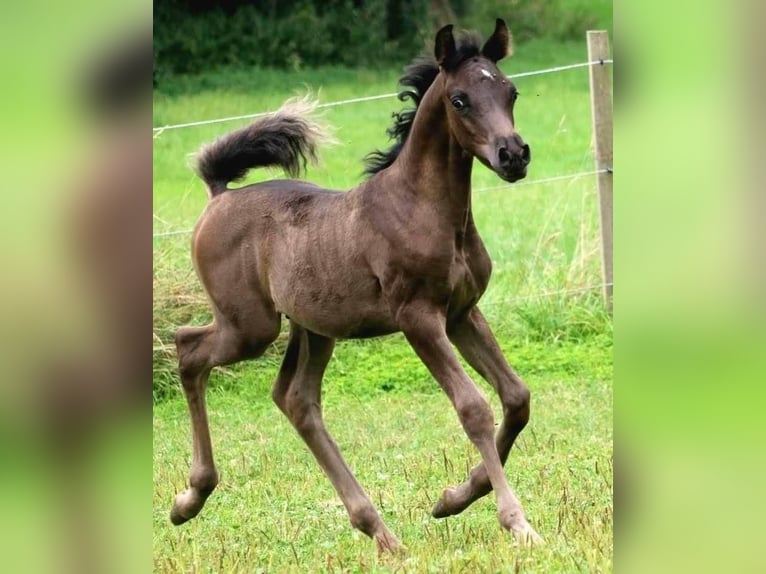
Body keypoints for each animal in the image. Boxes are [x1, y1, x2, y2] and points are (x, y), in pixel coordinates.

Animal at [172, 19, 544, 552]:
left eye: (511, 92)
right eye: (459, 100)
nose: (512, 155)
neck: (423, 208)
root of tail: (217, 196)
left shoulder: (462, 313)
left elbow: (516, 397)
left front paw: (452, 498)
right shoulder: (418, 318)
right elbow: (473, 407)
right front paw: (516, 522)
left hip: (313, 329)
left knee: (296, 400)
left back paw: (380, 532)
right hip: (250, 328)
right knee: (189, 350)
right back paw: (190, 498)